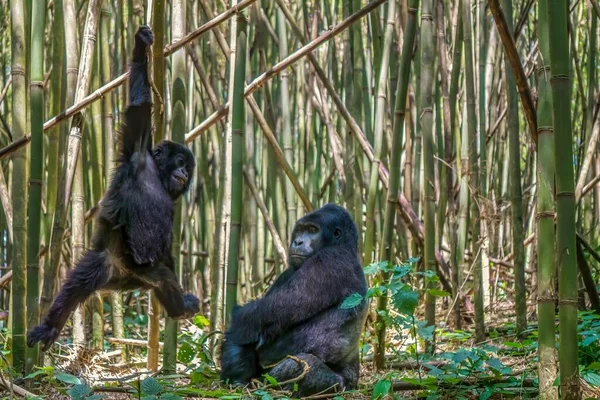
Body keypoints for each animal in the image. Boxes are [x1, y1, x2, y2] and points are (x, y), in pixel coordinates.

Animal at [27, 25, 200, 352]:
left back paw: (178, 307)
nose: (185, 171)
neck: (157, 176)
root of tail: (123, 273)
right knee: (77, 285)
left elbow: (168, 247)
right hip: (107, 262)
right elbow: (140, 107)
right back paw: (49, 326)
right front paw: (140, 48)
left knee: (162, 276)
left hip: (134, 278)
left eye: (189, 166)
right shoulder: (138, 149)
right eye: (181, 161)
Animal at [221, 205, 370, 398]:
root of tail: (354, 385)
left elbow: (253, 318)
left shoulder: (328, 261)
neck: (344, 245)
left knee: (303, 366)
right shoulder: (290, 269)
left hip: (344, 385)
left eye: (313, 230)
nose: (298, 242)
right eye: (300, 230)